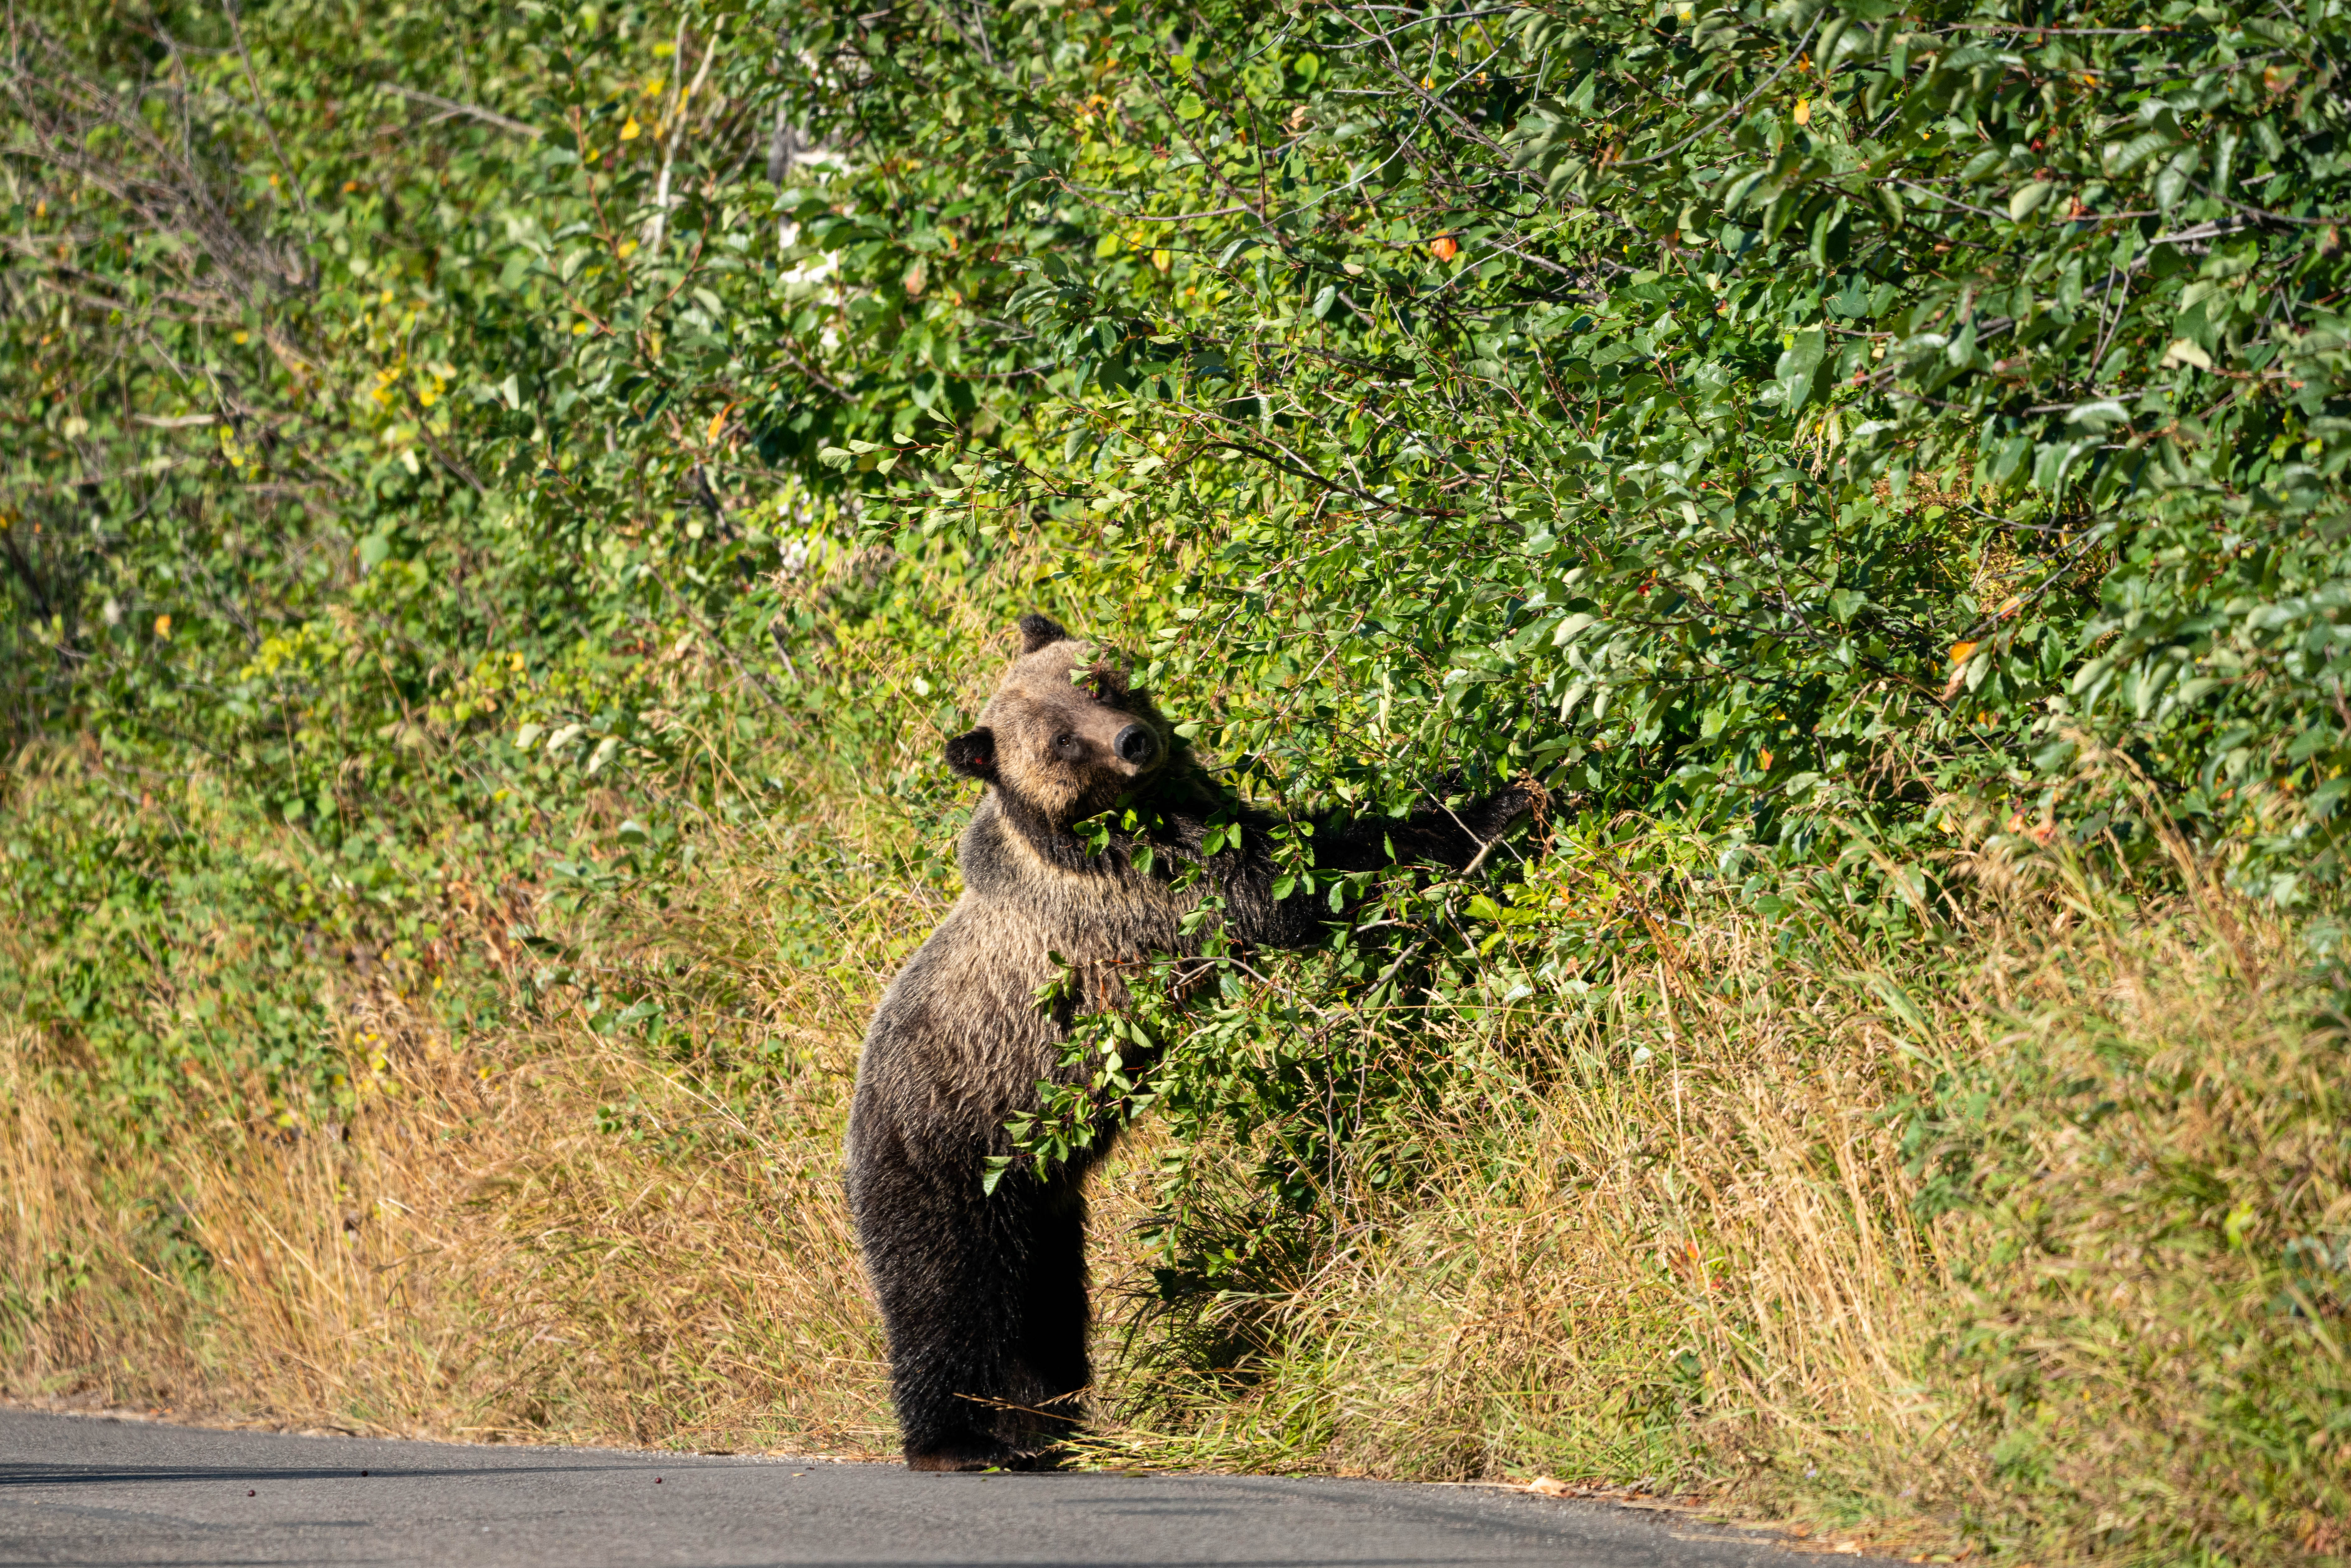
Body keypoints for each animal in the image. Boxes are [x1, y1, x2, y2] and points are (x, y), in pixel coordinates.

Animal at [846, 611, 1542, 1476]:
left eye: (1096, 681)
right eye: (1060, 741)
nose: (1134, 741)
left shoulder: (1195, 812)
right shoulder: (1142, 887)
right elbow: (1291, 883)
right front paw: (1497, 806)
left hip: (1044, 1198)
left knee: (1048, 1308)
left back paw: (1048, 1425)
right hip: (956, 1150)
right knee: (944, 1292)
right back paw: (956, 1437)